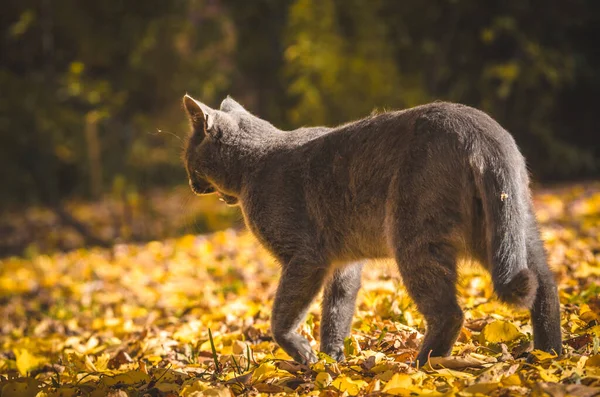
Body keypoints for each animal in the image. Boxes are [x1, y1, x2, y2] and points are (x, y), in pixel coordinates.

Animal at [182, 94, 564, 364]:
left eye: (188, 160)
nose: (190, 184)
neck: (252, 165)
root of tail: (482, 129)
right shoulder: (343, 262)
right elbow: (337, 309)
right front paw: (330, 359)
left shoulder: (304, 257)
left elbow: (284, 314)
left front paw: (304, 354)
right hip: (511, 225)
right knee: (545, 285)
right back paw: (548, 355)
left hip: (413, 235)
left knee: (450, 312)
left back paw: (423, 364)